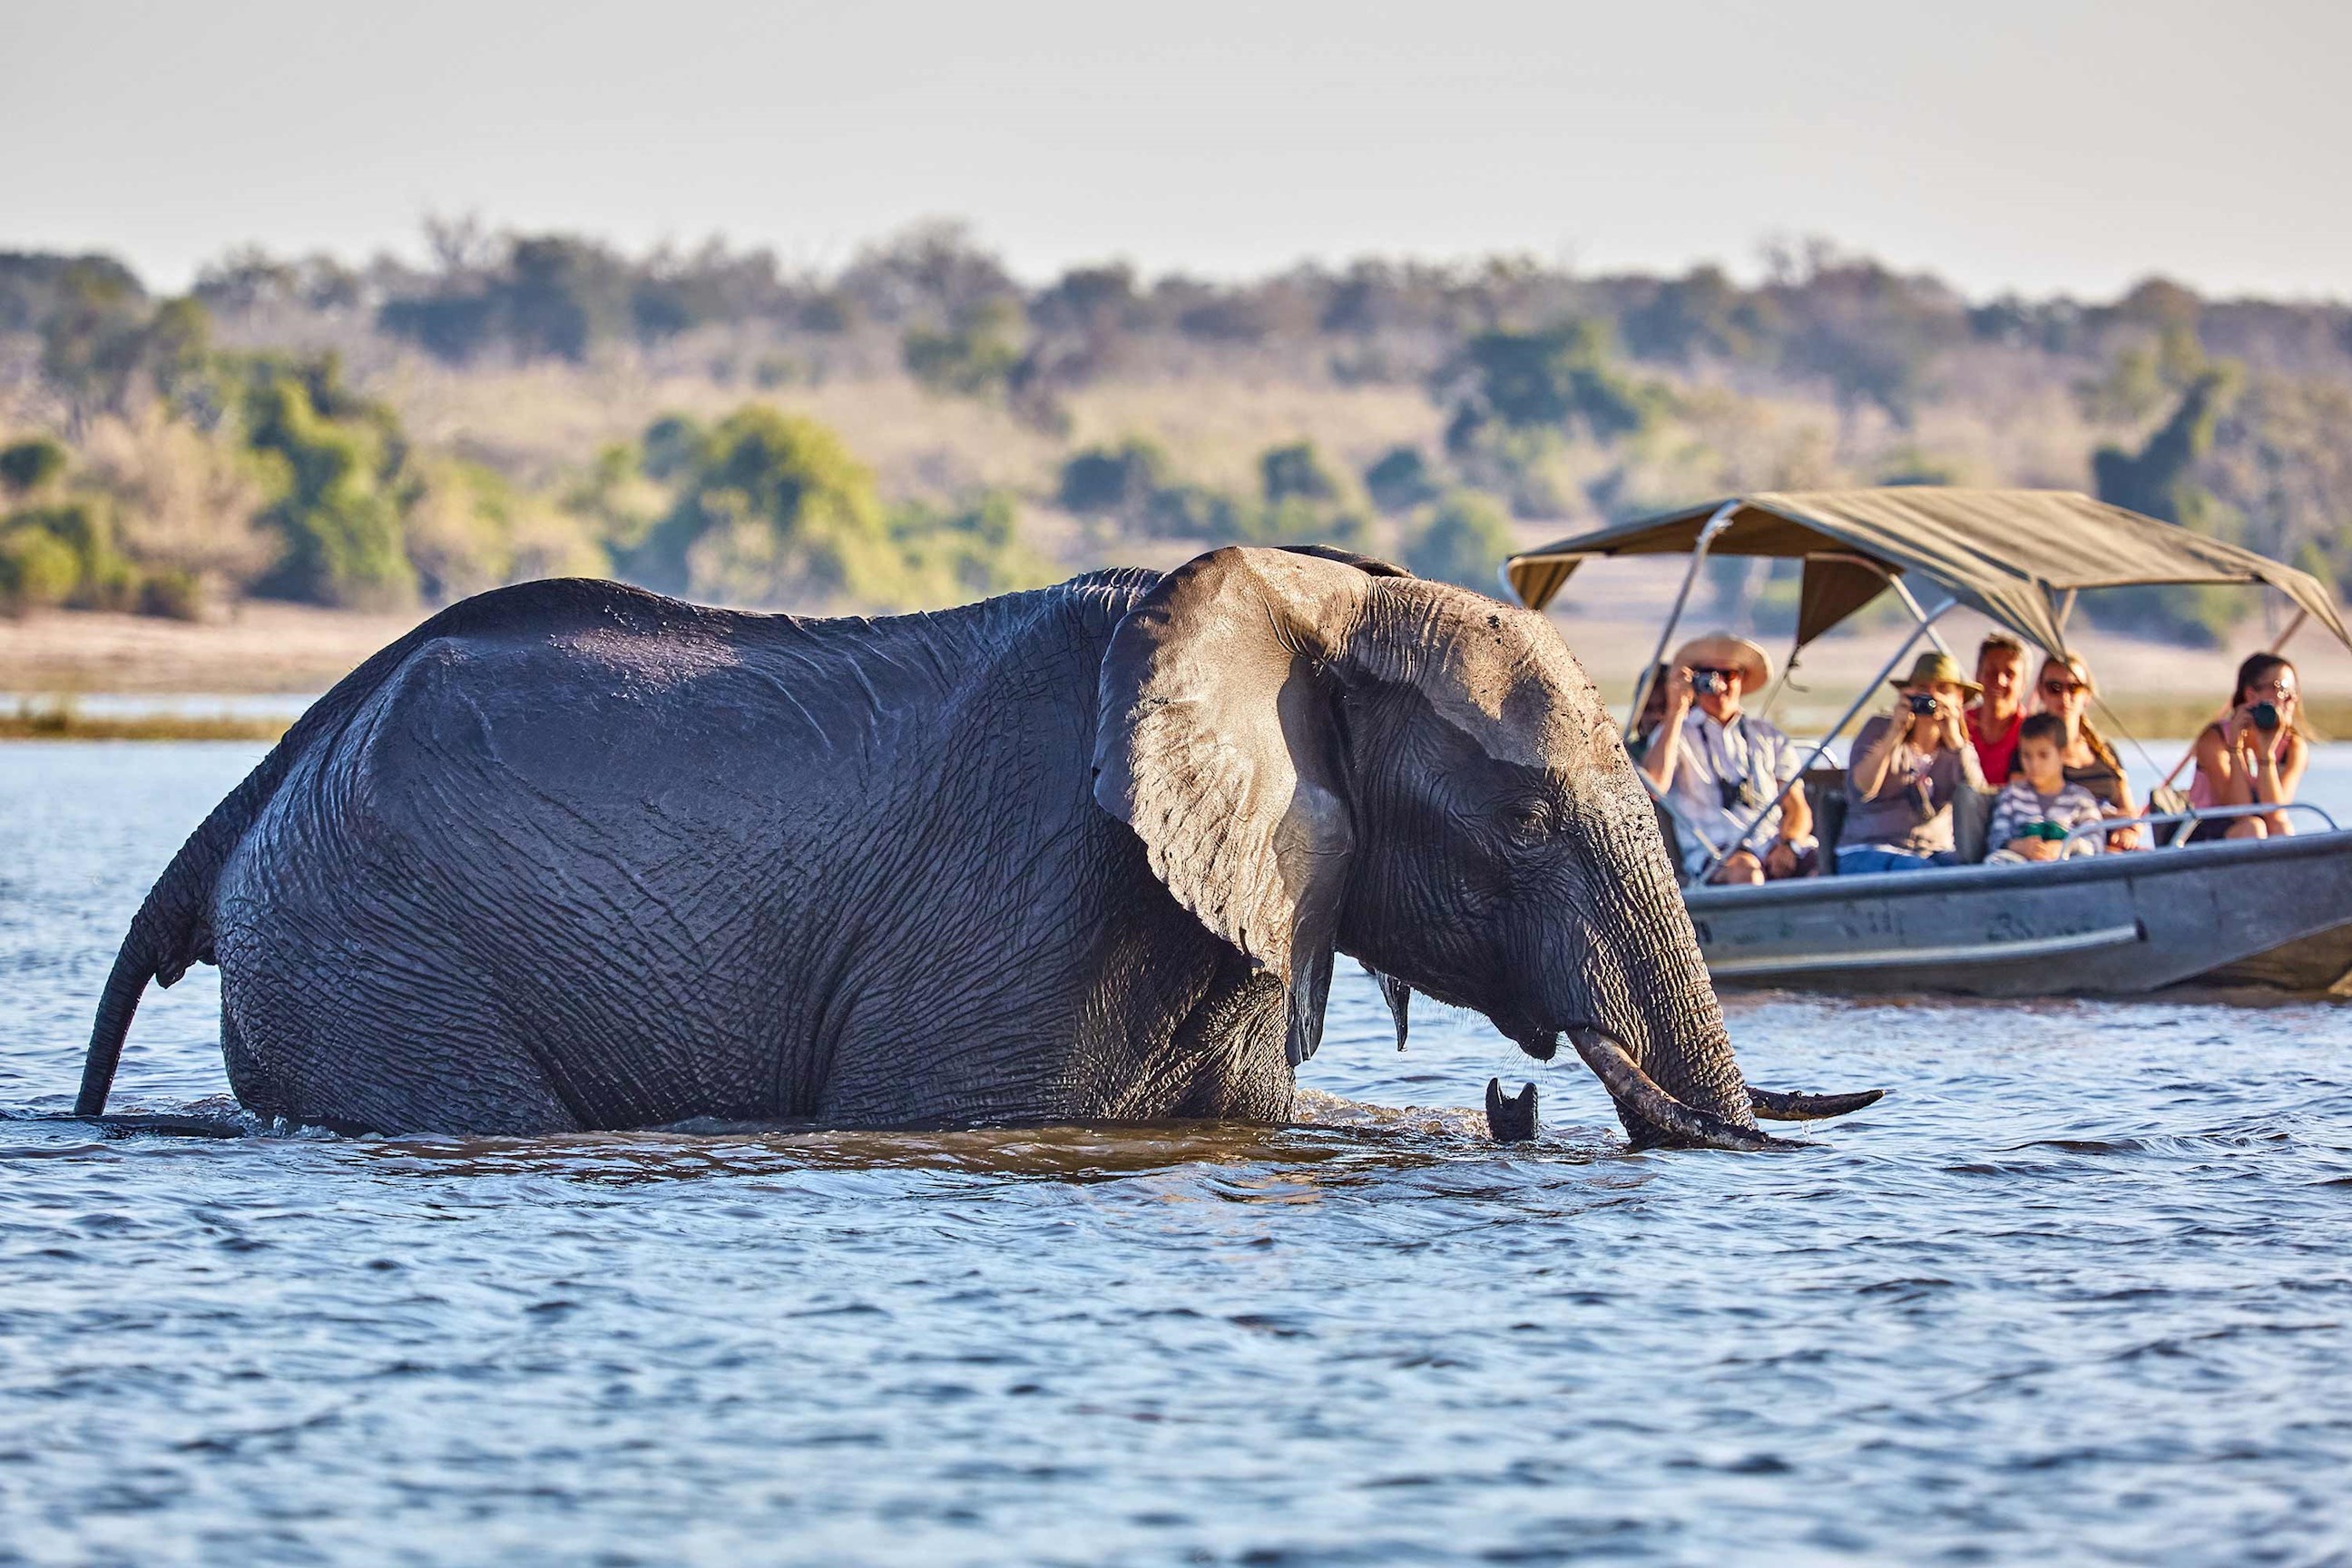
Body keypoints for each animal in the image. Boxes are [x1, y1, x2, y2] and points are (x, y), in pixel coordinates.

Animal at [76, 546, 1878, 1148]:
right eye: (1520, 818)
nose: (1514, 1096)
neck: (1308, 598)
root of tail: (263, 784)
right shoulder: (1036, 898)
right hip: (377, 950)